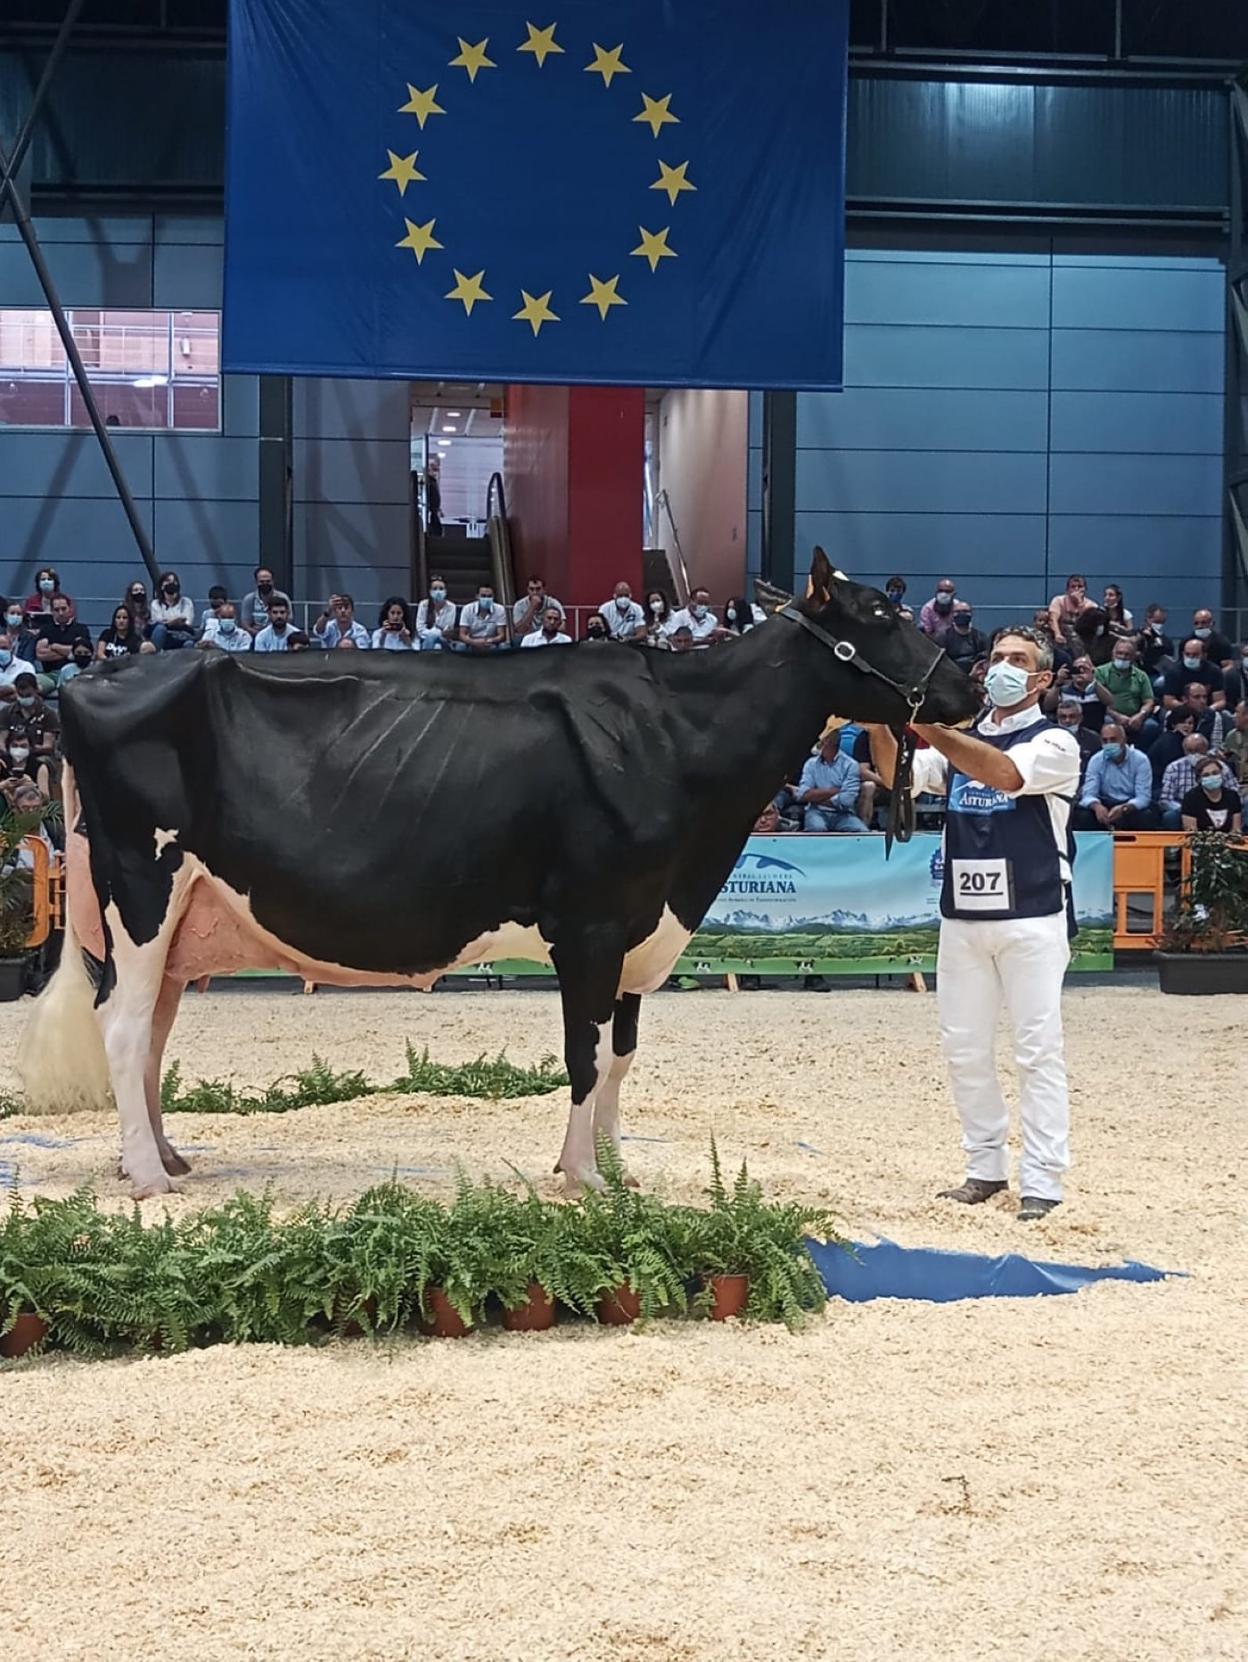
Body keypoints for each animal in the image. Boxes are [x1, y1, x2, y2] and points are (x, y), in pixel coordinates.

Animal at [19, 555, 977, 1196]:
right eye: (877, 613)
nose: (966, 689)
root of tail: (94, 681)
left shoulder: (641, 928)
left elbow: (622, 1056)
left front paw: (616, 1167)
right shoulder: (590, 924)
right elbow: (584, 1057)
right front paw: (583, 1179)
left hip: (181, 918)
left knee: (151, 1035)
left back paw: (166, 1156)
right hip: (144, 890)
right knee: (122, 1030)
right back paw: (149, 1179)